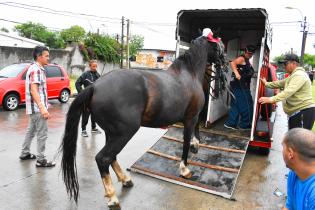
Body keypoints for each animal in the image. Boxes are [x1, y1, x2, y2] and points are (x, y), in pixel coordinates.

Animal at [60, 32, 226, 208]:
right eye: (220, 46)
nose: (225, 63)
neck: (190, 74)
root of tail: (94, 86)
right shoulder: (190, 118)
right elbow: (186, 142)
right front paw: (185, 169)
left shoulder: (192, 117)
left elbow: (196, 132)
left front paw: (196, 145)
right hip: (124, 133)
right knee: (103, 158)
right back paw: (112, 197)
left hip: (112, 134)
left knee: (112, 157)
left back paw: (125, 180)